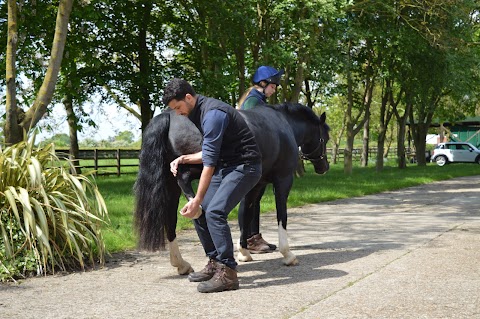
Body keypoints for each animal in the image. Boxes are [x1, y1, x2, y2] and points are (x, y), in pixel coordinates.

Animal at [134, 103, 330, 276]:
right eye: (325, 137)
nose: (324, 167)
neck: (283, 123)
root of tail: (168, 115)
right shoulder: (283, 180)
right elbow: (281, 214)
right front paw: (287, 254)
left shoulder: (256, 184)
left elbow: (246, 214)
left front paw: (244, 252)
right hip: (199, 167)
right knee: (183, 177)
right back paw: (195, 207)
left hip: (170, 184)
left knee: (170, 219)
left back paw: (181, 263)